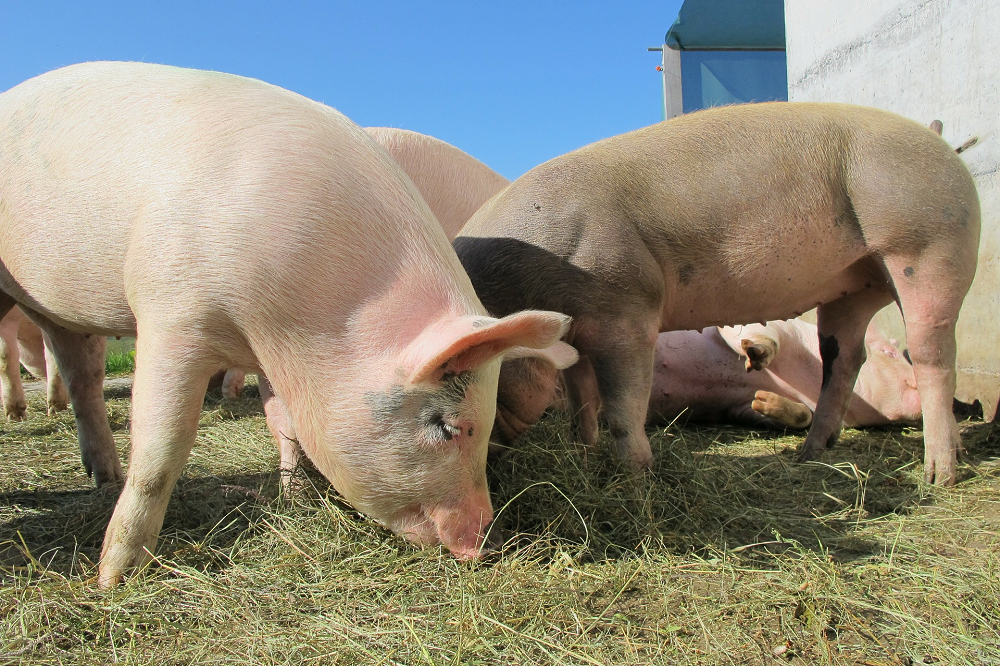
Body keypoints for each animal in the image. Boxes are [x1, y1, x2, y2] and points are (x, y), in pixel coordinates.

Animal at [0, 59, 576, 584]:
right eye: (449, 427)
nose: (486, 543)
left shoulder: (273, 353)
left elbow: (286, 423)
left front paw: (295, 499)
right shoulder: (173, 312)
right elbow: (164, 445)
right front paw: (114, 579)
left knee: (81, 368)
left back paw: (102, 475)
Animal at [458, 105, 980, 488]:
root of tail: (941, 144)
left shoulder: (625, 311)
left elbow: (623, 406)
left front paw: (636, 479)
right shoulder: (579, 332)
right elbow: (581, 401)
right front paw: (583, 456)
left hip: (928, 245)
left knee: (935, 354)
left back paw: (939, 477)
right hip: (855, 285)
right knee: (844, 358)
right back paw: (808, 455)